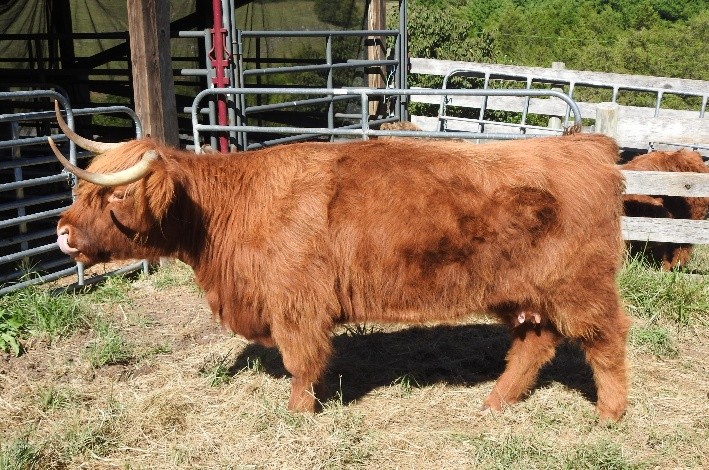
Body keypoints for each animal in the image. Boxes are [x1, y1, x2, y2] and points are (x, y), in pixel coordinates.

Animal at [48, 101, 630, 422]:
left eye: (113, 196)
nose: (61, 232)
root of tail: (590, 148)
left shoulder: (296, 304)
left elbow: (301, 362)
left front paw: (298, 414)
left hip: (580, 287)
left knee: (607, 339)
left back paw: (610, 414)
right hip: (522, 293)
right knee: (535, 343)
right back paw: (495, 403)